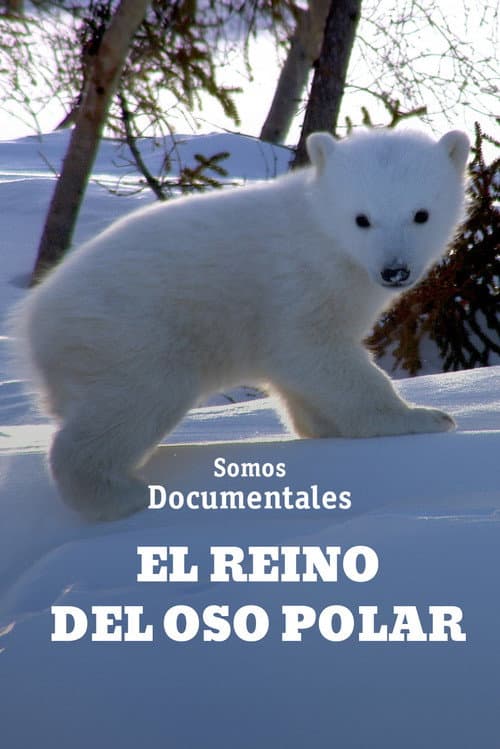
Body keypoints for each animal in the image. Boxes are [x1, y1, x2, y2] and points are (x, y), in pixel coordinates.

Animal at [16, 127, 470, 521]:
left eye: (421, 214)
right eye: (362, 218)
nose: (394, 271)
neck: (327, 237)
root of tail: (34, 318)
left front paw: (321, 428)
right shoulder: (298, 286)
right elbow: (313, 351)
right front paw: (423, 418)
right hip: (129, 332)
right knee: (132, 403)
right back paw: (120, 494)